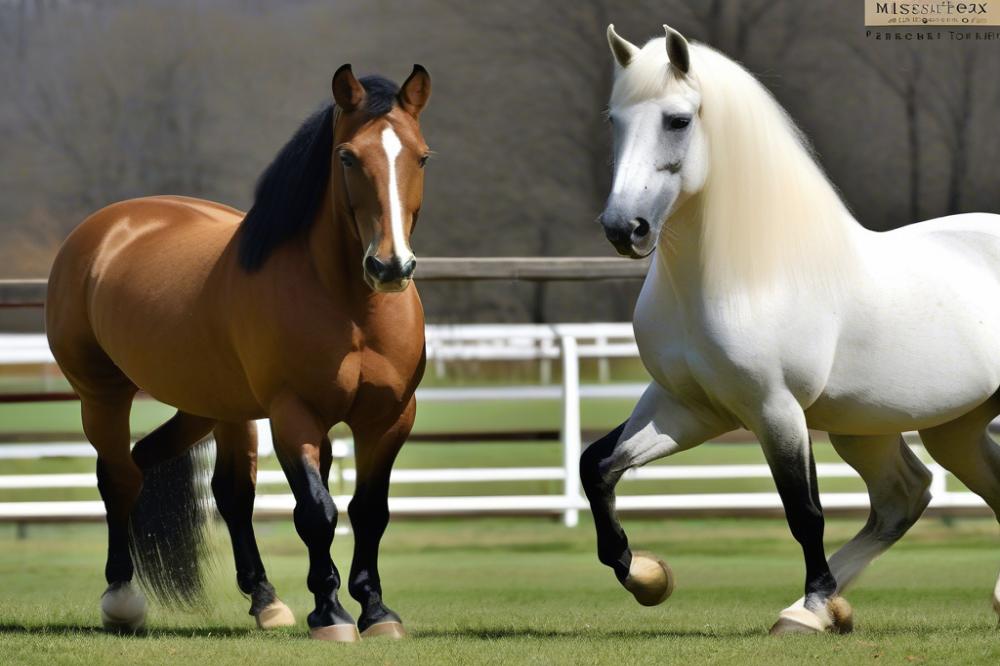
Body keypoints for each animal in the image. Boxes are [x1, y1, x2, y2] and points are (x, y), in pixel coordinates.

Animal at [46, 63, 430, 640]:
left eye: (422, 156)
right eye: (347, 157)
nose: (390, 267)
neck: (350, 305)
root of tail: (104, 230)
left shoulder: (388, 417)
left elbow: (369, 511)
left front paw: (377, 611)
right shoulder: (293, 414)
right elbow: (316, 511)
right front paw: (330, 614)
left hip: (214, 407)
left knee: (225, 492)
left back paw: (266, 600)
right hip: (102, 396)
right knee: (119, 477)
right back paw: (121, 599)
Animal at [580, 22, 1000, 632]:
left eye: (678, 120)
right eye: (615, 119)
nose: (623, 229)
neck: (747, 275)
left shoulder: (775, 410)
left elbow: (804, 512)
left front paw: (814, 602)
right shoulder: (687, 406)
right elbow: (597, 467)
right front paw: (646, 576)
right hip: (923, 427)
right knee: (908, 496)